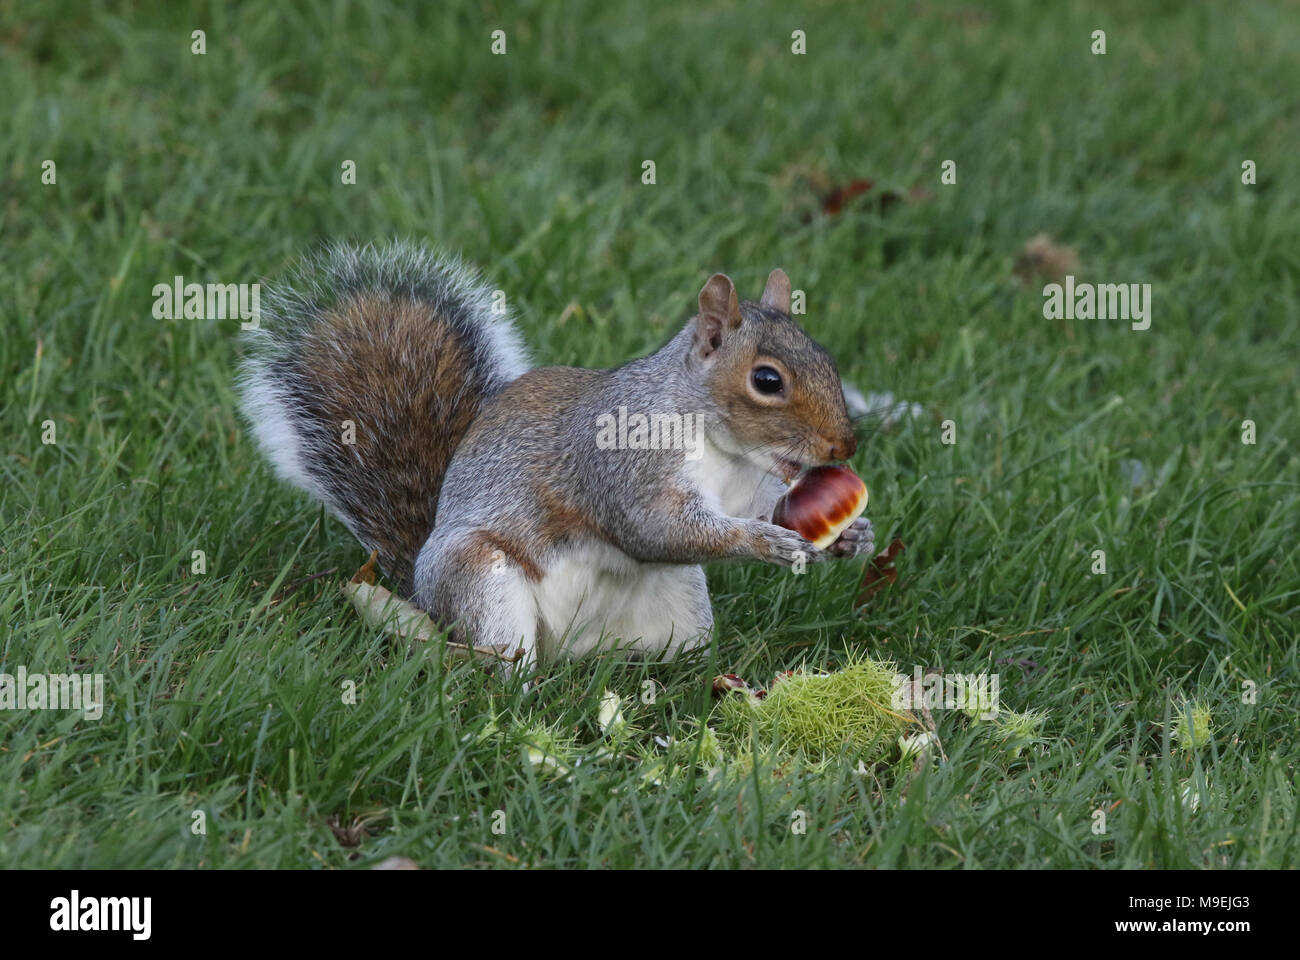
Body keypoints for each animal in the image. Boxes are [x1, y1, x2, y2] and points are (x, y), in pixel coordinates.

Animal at [240, 240, 878, 666]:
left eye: (827, 358)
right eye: (767, 380)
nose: (844, 444)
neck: (725, 450)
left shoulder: (747, 487)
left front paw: (853, 535)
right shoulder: (624, 461)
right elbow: (656, 528)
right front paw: (766, 543)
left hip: (683, 612)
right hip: (481, 582)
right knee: (495, 660)